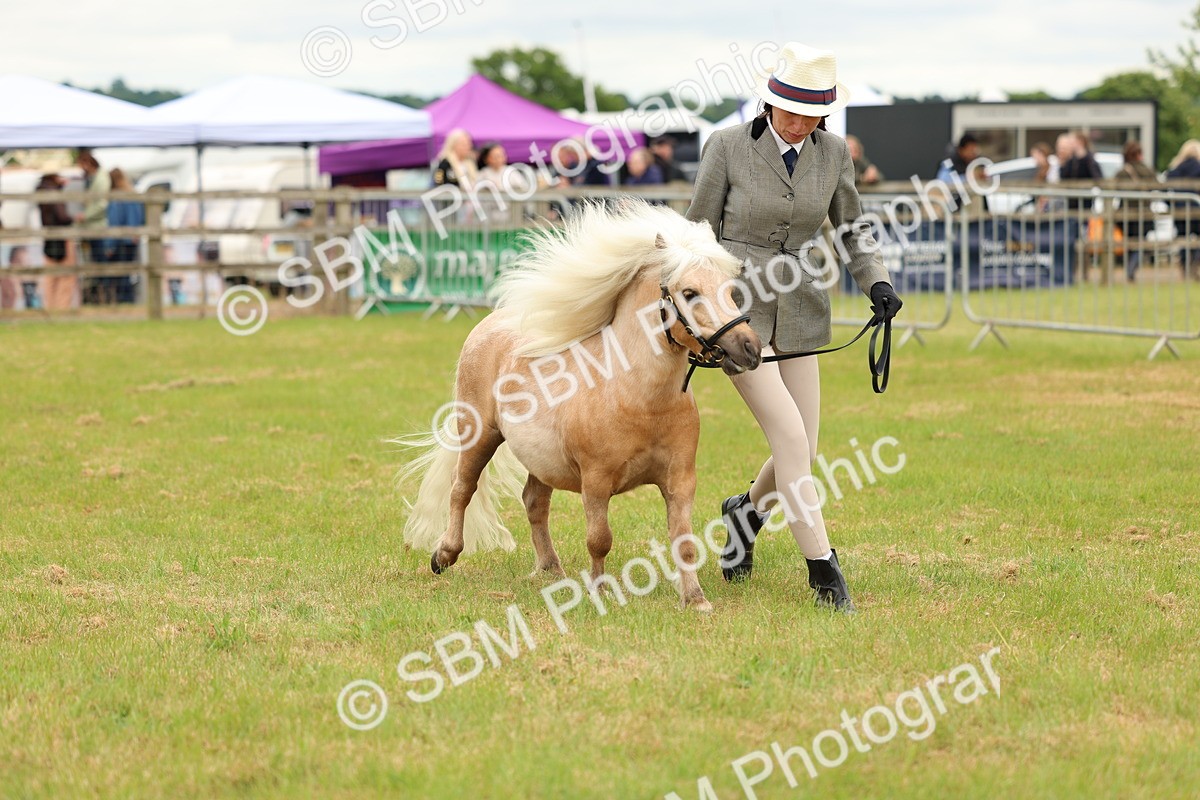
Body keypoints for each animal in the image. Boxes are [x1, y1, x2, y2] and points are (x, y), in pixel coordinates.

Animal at [399, 199, 762, 611]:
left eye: (730, 290)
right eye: (690, 291)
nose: (749, 349)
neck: (639, 398)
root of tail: (489, 325)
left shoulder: (681, 480)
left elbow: (684, 542)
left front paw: (695, 600)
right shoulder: (596, 481)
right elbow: (599, 539)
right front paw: (599, 590)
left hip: (538, 460)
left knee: (534, 502)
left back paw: (550, 569)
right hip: (478, 435)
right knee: (462, 489)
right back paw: (444, 555)